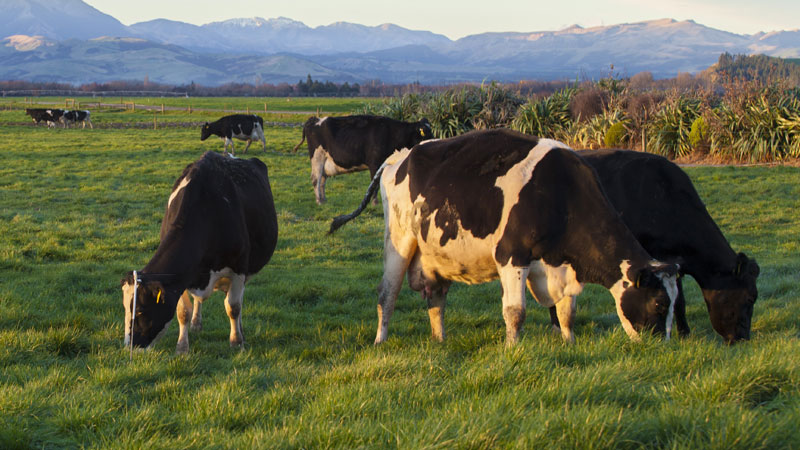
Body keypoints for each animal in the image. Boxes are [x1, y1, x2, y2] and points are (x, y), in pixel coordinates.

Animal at [121, 151, 278, 353]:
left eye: (140, 311)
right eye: (125, 309)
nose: (130, 348)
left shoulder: (239, 268)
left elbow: (233, 307)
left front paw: (236, 342)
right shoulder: (180, 278)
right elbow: (183, 312)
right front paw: (182, 348)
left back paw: (240, 331)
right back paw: (197, 324)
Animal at [292, 115, 434, 204]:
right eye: (425, 133)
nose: (434, 142)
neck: (392, 133)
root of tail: (314, 119)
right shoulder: (375, 163)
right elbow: (374, 185)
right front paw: (375, 202)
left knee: (322, 179)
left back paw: (324, 199)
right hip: (317, 157)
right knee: (315, 179)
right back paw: (319, 201)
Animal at [330, 129, 679, 346]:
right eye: (660, 303)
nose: (662, 346)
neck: (561, 194)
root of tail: (398, 157)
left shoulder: (565, 265)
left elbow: (567, 313)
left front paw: (570, 343)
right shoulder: (512, 255)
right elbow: (515, 312)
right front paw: (512, 350)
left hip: (436, 254)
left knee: (436, 298)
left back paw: (440, 341)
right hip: (400, 242)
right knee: (387, 294)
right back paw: (380, 340)